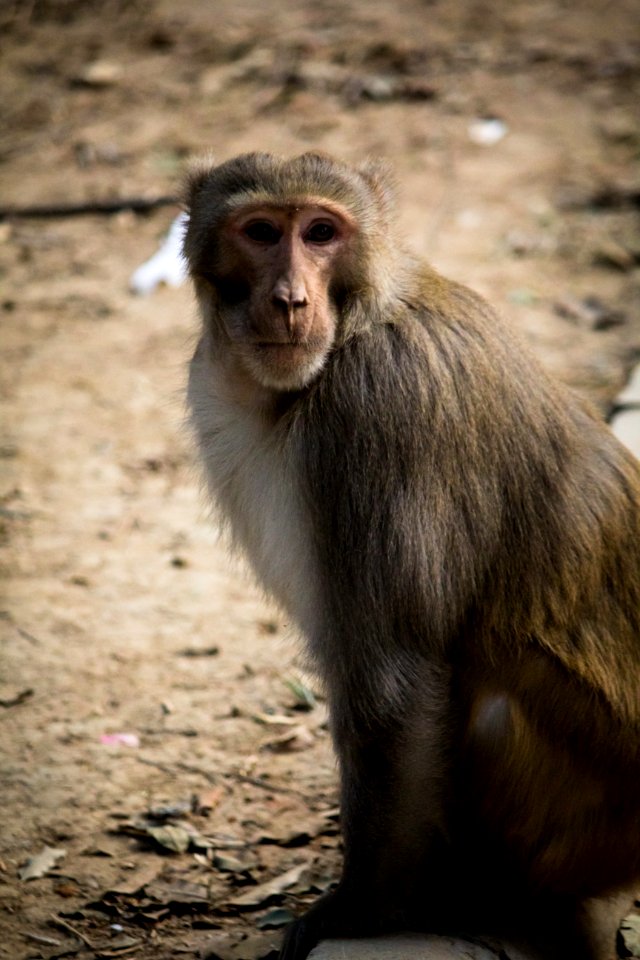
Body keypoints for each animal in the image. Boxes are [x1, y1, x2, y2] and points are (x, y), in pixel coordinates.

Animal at [182, 152, 640, 960]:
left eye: (322, 232)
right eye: (261, 231)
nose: (291, 299)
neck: (358, 324)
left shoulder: (374, 408)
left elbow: (392, 680)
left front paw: (361, 908)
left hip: (593, 825)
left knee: (491, 704)